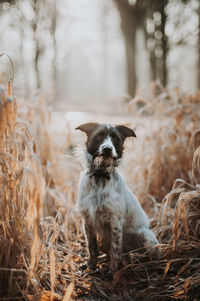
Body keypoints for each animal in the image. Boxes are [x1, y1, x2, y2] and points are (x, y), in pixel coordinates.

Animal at [76, 122, 160, 276]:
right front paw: (91, 266)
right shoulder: (88, 220)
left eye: (115, 138)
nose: (107, 148)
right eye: (99, 136)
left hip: (147, 238)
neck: (100, 176)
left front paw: (113, 271)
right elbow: (91, 247)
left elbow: (115, 251)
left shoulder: (115, 221)